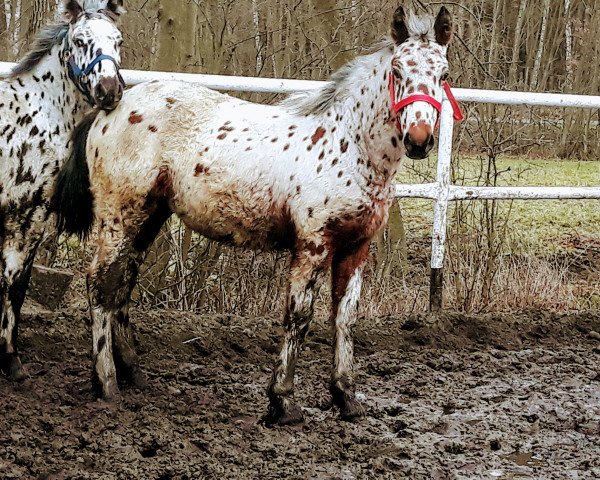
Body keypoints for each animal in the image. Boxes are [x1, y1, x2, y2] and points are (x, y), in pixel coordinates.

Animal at [0, 0, 125, 382]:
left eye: (118, 40)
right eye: (81, 40)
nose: (108, 89)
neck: (38, 111)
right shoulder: (25, 216)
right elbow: (14, 284)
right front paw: (10, 360)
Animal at [52, 3, 464, 424]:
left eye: (444, 74)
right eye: (397, 71)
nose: (419, 140)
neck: (349, 144)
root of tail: (110, 108)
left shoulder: (356, 247)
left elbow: (345, 317)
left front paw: (346, 396)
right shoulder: (313, 244)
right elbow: (299, 316)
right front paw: (283, 401)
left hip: (148, 217)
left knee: (123, 283)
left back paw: (133, 373)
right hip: (118, 217)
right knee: (99, 284)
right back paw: (106, 384)